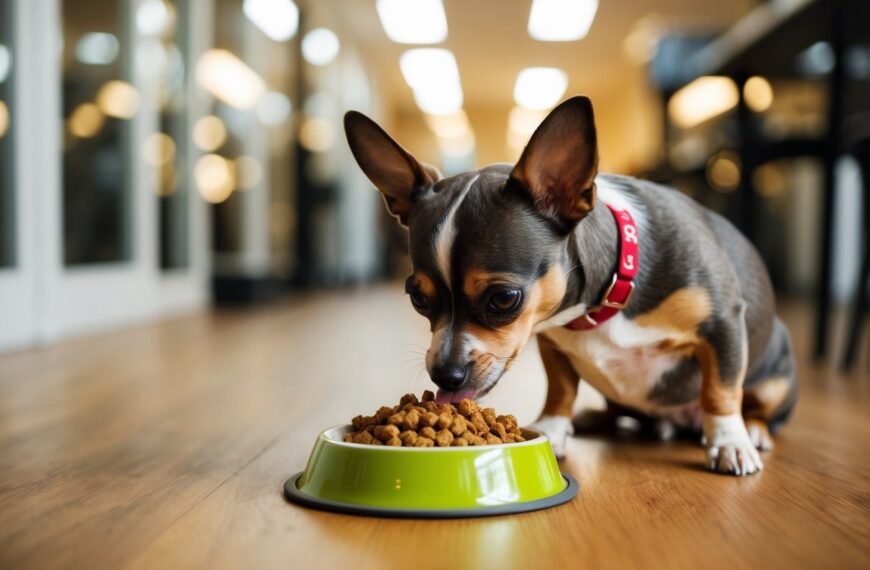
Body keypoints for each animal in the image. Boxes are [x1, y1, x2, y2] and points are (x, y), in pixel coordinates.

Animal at [340, 95, 796, 472]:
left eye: (504, 298)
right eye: (418, 298)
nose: (444, 375)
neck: (600, 308)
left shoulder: (723, 326)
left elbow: (720, 390)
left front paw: (729, 443)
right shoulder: (552, 343)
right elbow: (560, 389)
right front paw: (553, 429)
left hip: (776, 377)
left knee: (757, 406)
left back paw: (753, 431)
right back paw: (597, 417)